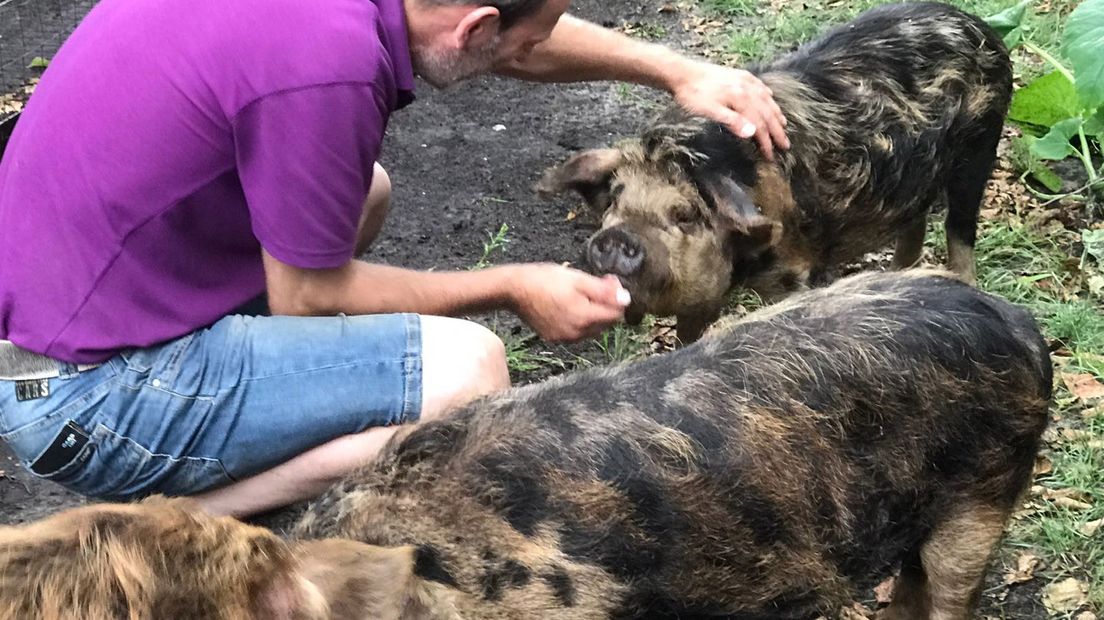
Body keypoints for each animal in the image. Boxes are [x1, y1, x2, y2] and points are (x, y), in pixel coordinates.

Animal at [538, 1, 1011, 337]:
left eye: (685, 214)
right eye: (615, 199)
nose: (618, 237)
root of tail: (980, 26)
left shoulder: (796, 272)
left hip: (980, 146)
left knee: (960, 233)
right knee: (914, 226)